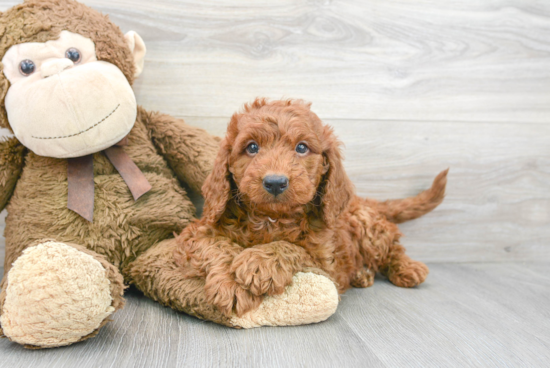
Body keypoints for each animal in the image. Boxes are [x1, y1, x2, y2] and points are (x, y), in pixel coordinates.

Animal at [176, 98, 448, 316]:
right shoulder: (196, 232)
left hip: (366, 224)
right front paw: (230, 283)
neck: (270, 218)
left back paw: (406, 268)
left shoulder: (326, 263)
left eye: (302, 147)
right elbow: (218, 245)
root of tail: (361, 200)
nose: (275, 182)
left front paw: (259, 261)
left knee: (392, 247)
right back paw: (363, 274)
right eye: (252, 147)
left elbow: (294, 247)